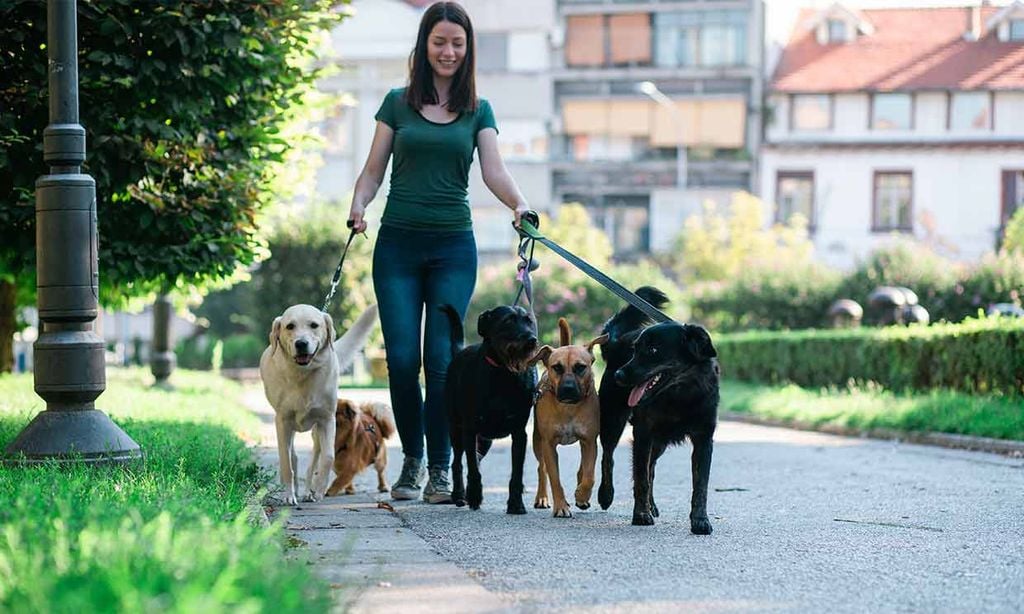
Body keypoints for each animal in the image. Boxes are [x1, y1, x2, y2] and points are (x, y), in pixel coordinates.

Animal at [260, 302, 380, 503]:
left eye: (314, 325)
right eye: (290, 326)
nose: (301, 343)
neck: (303, 374)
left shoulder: (327, 420)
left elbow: (328, 457)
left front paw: (319, 488)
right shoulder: (282, 421)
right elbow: (286, 462)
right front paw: (288, 494)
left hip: (316, 432)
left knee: (313, 461)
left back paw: (309, 491)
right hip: (289, 429)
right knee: (292, 456)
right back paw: (296, 489)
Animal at [444, 302, 548, 513]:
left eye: (529, 321)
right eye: (508, 321)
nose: (532, 340)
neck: (503, 374)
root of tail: (459, 352)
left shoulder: (519, 433)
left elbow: (516, 473)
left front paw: (515, 503)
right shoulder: (470, 430)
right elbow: (472, 469)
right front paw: (474, 496)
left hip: (485, 440)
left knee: (475, 458)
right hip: (456, 429)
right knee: (458, 462)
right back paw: (459, 494)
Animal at [528, 319, 606, 515]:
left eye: (581, 367)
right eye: (557, 367)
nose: (568, 388)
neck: (568, 408)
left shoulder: (589, 441)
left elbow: (589, 475)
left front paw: (582, 496)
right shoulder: (548, 444)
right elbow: (554, 478)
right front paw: (561, 507)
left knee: (582, 470)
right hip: (537, 440)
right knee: (541, 469)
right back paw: (542, 498)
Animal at [593, 284, 671, 511]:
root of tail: (618, 342)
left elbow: (647, 471)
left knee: (650, 468)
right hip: (613, 419)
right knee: (607, 456)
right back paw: (606, 494)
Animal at [614, 321, 720, 532]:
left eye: (653, 350)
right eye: (635, 349)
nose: (618, 375)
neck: (679, 395)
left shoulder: (704, 440)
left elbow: (701, 485)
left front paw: (700, 520)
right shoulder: (643, 435)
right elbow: (641, 478)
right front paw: (641, 515)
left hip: (659, 445)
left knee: (652, 468)